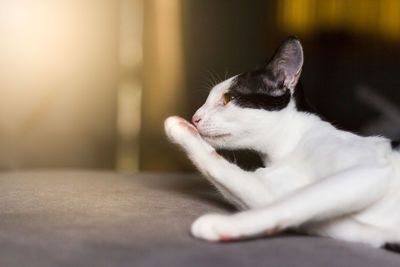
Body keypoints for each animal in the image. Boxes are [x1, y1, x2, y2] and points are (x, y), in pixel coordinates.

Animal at [163, 36, 400, 252]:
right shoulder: (271, 191)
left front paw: (223, 224)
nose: (195, 118)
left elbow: (297, 200)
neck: (286, 150)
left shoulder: (369, 170)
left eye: (228, 98)